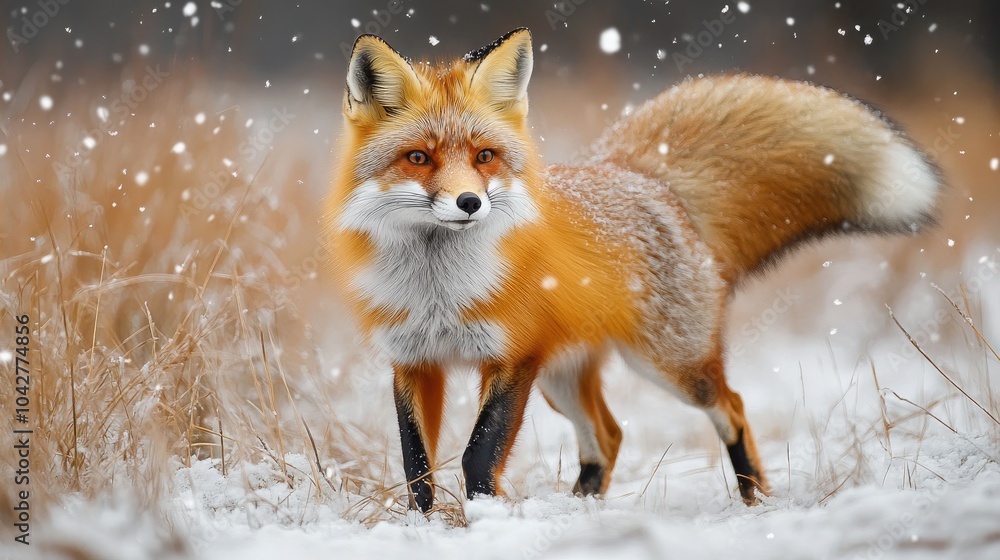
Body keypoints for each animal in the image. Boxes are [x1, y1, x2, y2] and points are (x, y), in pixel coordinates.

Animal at [325, 28, 941, 512]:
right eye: (419, 158)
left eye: (484, 157)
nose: (470, 203)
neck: (439, 291)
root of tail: (640, 176)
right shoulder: (413, 361)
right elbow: (417, 467)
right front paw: (426, 528)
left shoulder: (513, 358)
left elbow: (479, 454)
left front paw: (484, 519)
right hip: (561, 379)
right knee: (609, 436)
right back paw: (581, 510)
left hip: (670, 366)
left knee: (731, 408)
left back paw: (753, 498)